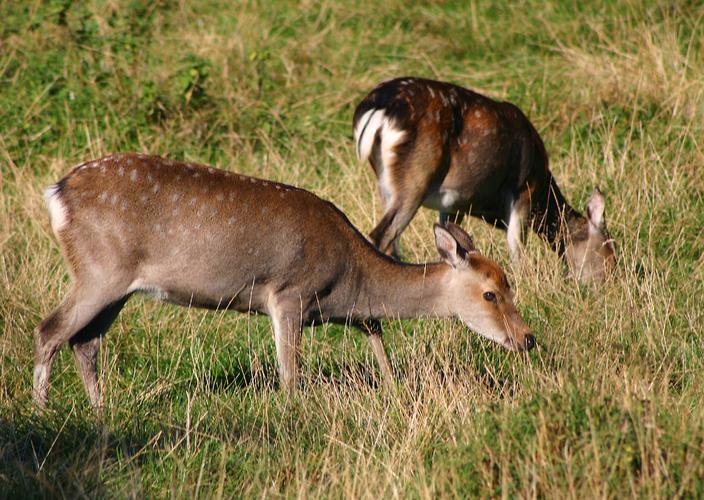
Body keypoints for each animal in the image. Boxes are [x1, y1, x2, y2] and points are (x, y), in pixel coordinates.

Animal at [34, 154, 532, 412]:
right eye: (490, 292)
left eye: (510, 285)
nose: (527, 337)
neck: (351, 278)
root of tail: (56, 195)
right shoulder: (289, 293)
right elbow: (291, 374)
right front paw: (294, 416)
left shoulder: (349, 313)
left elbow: (376, 331)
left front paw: (394, 390)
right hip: (100, 268)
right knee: (50, 330)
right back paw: (42, 415)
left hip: (119, 285)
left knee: (85, 341)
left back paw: (100, 413)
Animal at [352, 76, 616, 284]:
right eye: (609, 248)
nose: (611, 282)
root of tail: (375, 109)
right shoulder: (523, 190)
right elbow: (516, 248)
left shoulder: (454, 204)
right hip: (416, 176)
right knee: (382, 235)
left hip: (387, 184)